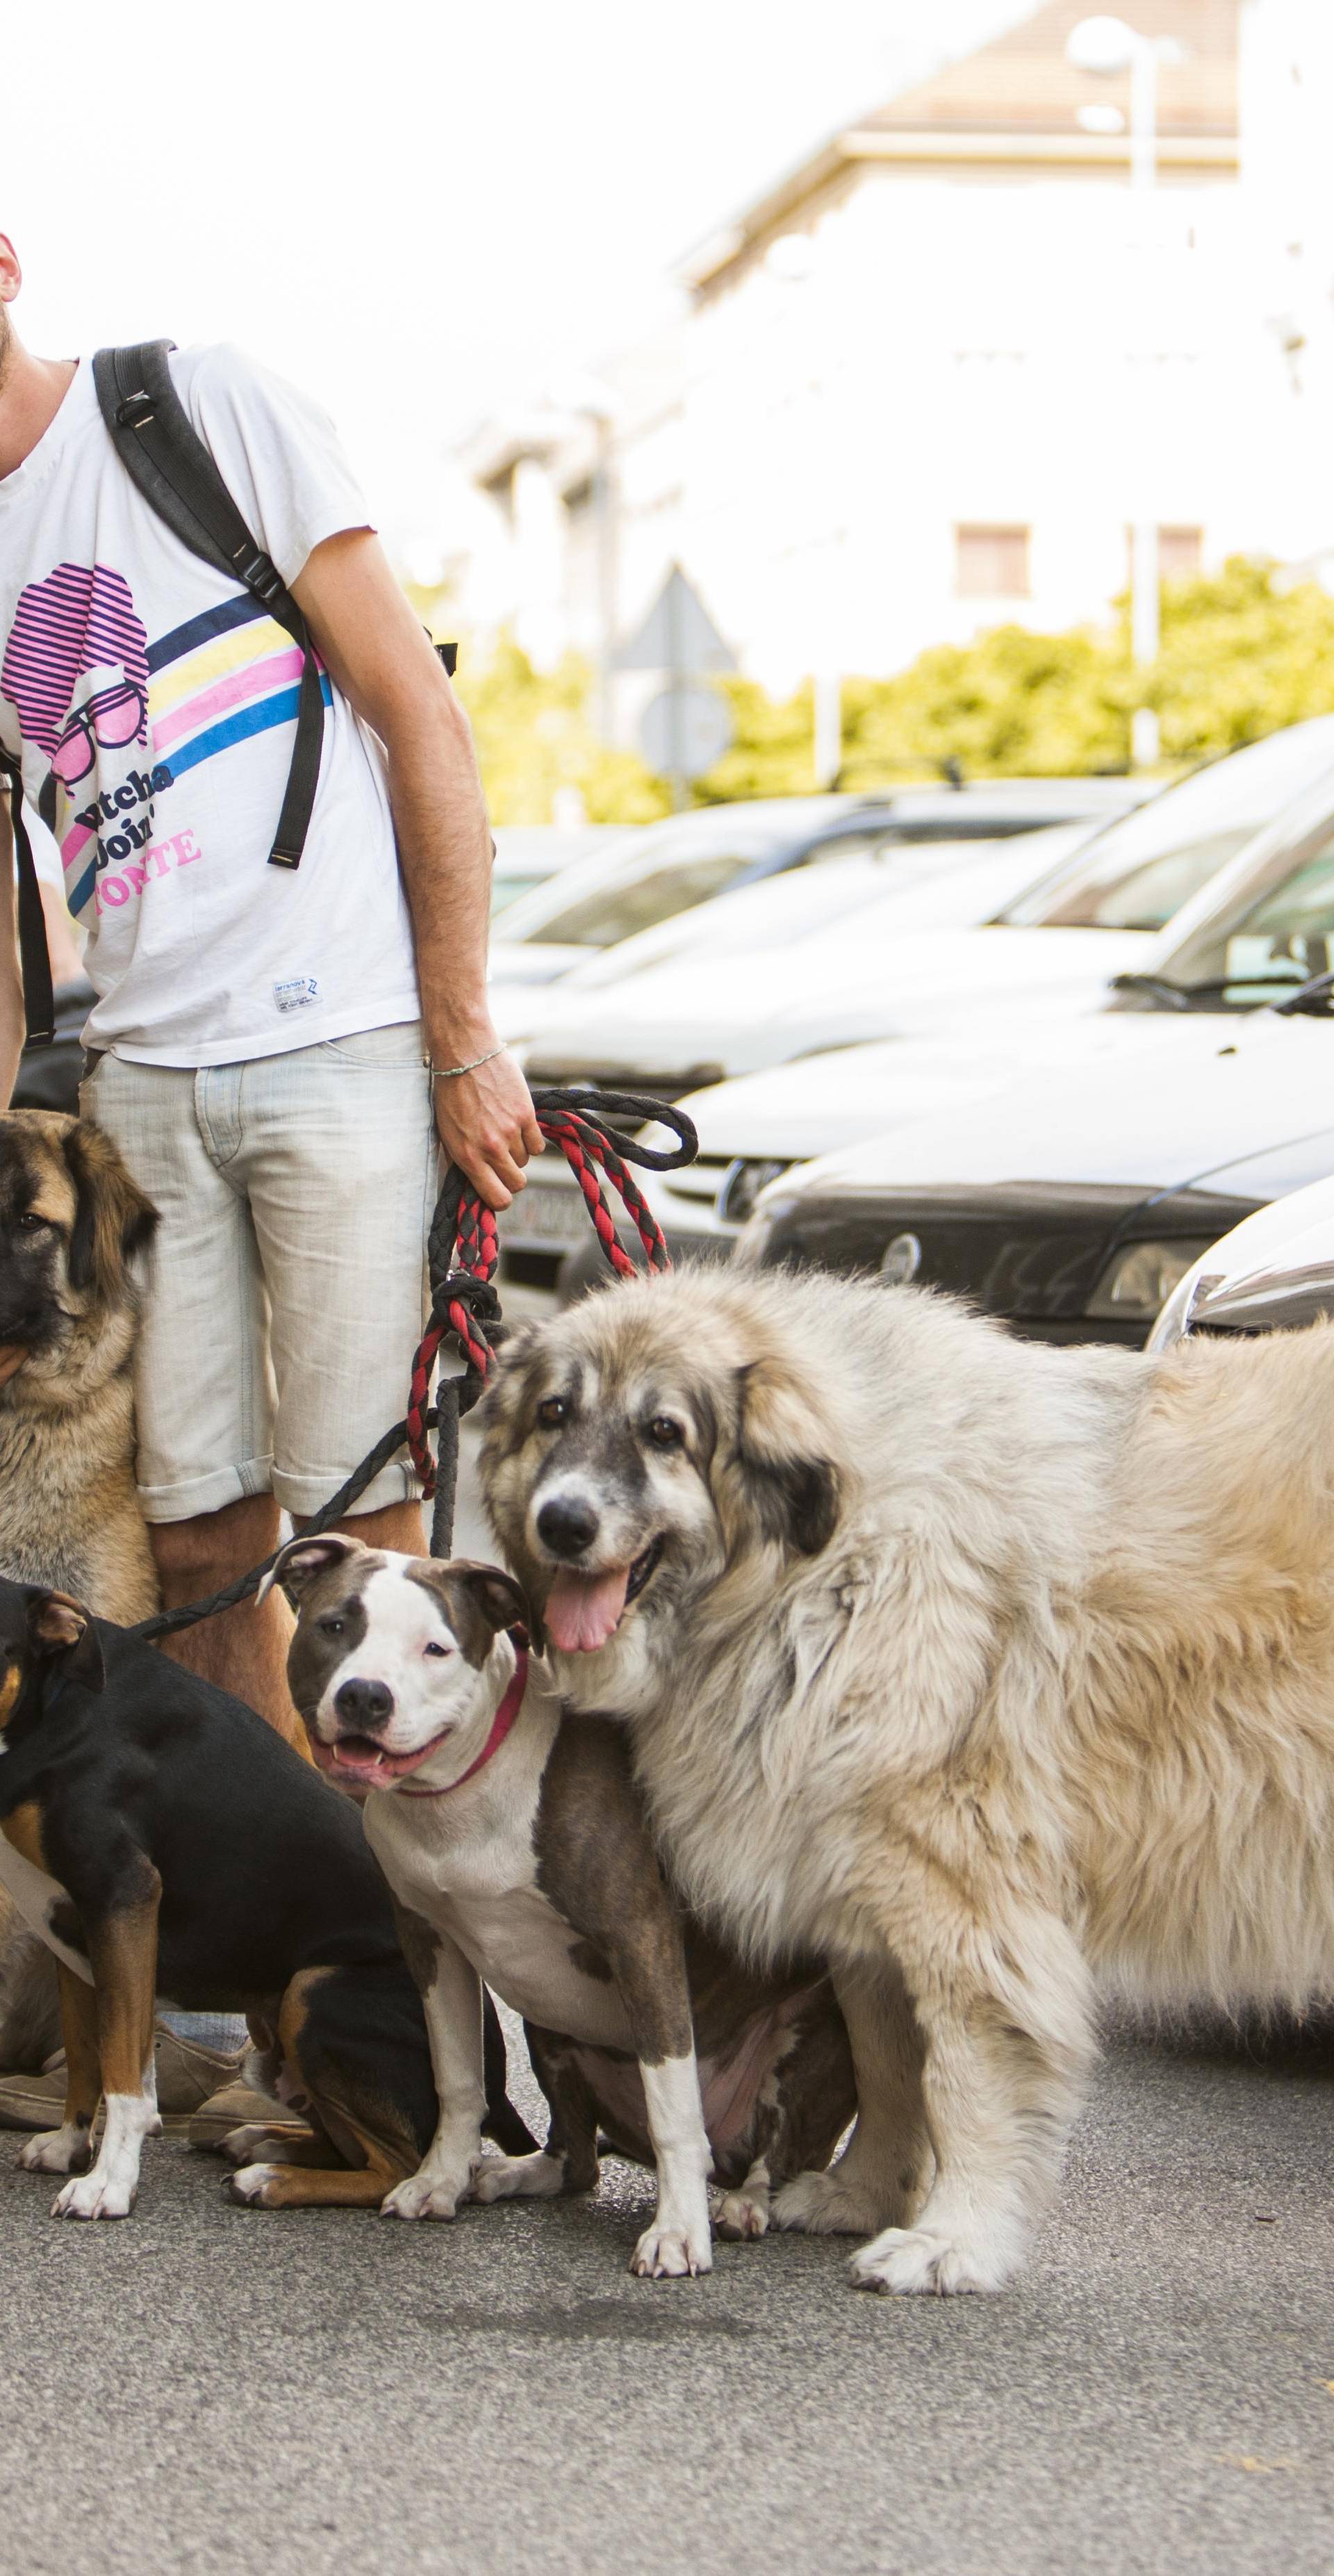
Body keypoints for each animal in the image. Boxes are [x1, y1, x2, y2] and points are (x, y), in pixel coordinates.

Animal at [0, 1566, 533, 2215]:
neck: (54, 1705)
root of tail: (499, 2087)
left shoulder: (121, 1895)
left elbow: (124, 2069)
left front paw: (108, 2183)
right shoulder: (71, 1924)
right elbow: (86, 2054)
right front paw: (68, 2145)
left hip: (313, 1990)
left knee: (398, 2166)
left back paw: (274, 2178)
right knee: (352, 2147)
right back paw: (264, 2142)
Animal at [272, 1525, 859, 2276]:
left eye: (435, 1647)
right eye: (334, 1625)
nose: (366, 1697)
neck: (461, 1790)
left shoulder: (641, 1936)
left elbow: (674, 2108)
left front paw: (678, 2231)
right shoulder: (431, 1941)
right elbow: (456, 2076)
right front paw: (439, 2179)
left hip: (813, 2038)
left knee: (775, 2158)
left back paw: (740, 2202)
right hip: (547, 2017)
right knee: (578, 2161)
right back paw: (511, 2172)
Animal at [486, 1267, 1334, 2297]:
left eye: (664, 1432)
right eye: (554, 1413)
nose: (562, 1522)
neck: (818, 1561)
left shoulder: (958, 1894)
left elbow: (966, 2074)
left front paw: (955, 2237)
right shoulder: (864, 1889)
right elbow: (890, 2061)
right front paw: (862, 2193)